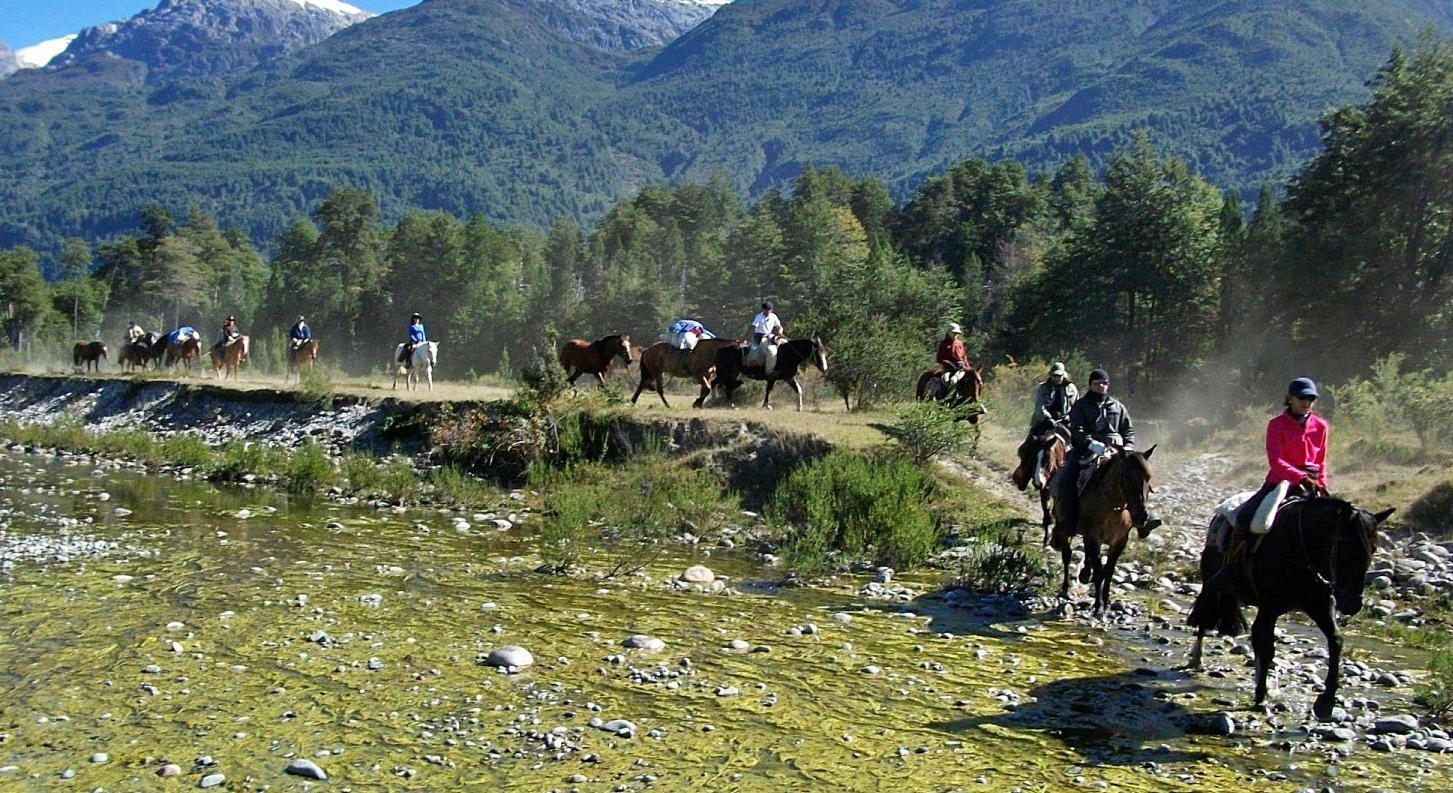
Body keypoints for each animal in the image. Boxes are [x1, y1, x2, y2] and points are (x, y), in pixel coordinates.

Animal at [1051, 444, 1162, 610]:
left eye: (1148, 477)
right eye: (1127, 477)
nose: (1141, 516)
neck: (1112, 508)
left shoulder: (1120, 541)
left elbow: (1108, 571)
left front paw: (1106, 600)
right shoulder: (1094, 538)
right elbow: (1099, 572)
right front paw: (1099, 605)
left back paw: (1085, 574)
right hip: (1066, 531)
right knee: (1067, 555)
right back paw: (1065, 588)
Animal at [1185, 496, 1389, 720]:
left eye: (1374, 548)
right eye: (1344, 544)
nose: (1352, 604)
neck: (1301, 548)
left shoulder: (1320, 604)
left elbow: (1336, 640)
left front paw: (1325, 703)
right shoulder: (1270, 607)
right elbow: (1266, 647)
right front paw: (1261, 696)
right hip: (1211, 579)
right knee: (1206, 615)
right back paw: (1196, 659)